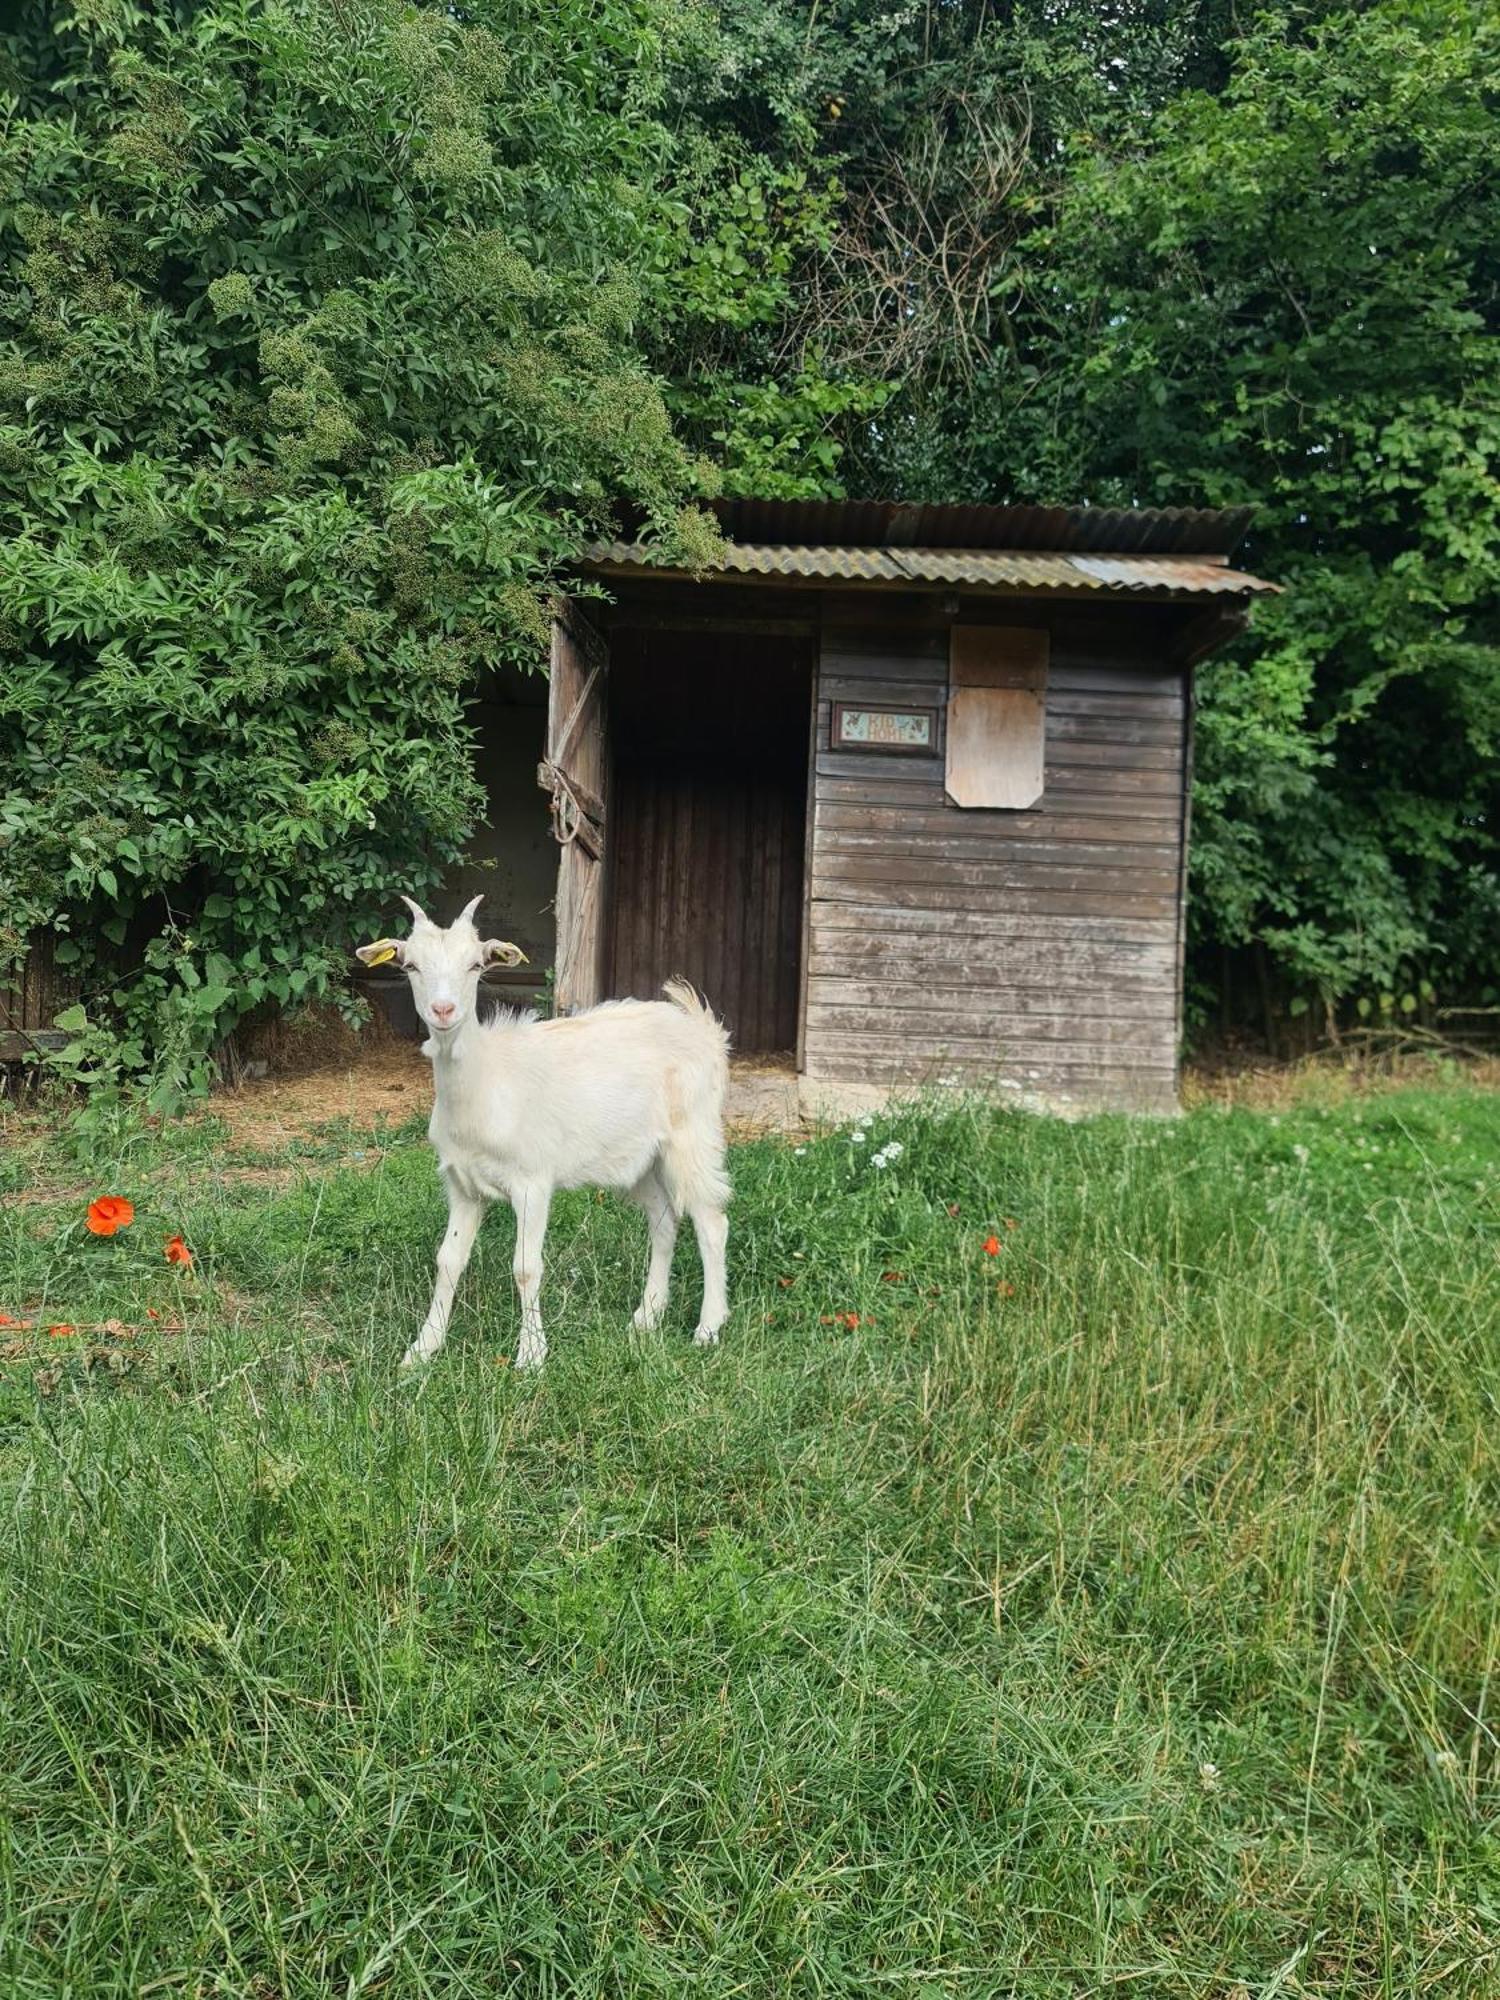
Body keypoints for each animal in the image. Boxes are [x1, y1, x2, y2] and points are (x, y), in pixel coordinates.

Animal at [352, 896, 728, 1376]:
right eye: (411, 965)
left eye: (476, 964)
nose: (443, 1011)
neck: (488, 1081)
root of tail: (703, 1027)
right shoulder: (462, 1185)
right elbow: (448, 1260)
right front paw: (422, 1349)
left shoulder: (532, 1182)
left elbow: (526, 1267)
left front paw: (531, 1355)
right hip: (640, 1159)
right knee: (664, 1221)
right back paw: (647, 1316)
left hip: (692, 1137)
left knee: (711, 1221)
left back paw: (708, 1328)